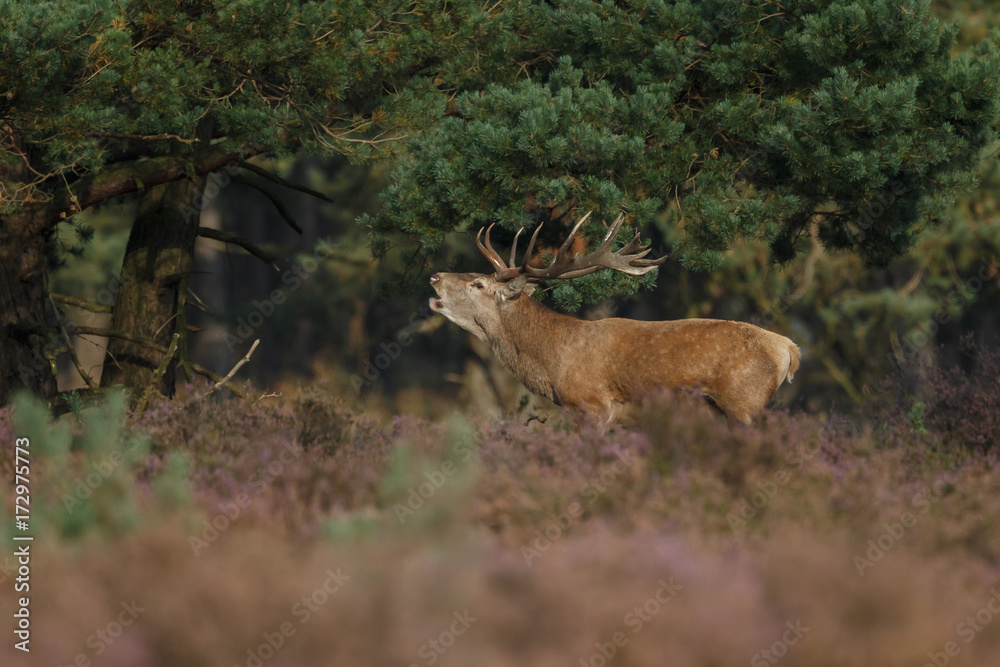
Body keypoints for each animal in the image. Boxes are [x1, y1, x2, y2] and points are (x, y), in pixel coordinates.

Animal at [428, 211, 801, 427]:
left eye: (478, 284)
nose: (434, 277)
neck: (553, 360)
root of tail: (789, 349)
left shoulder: (590, 404)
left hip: (743, 401)